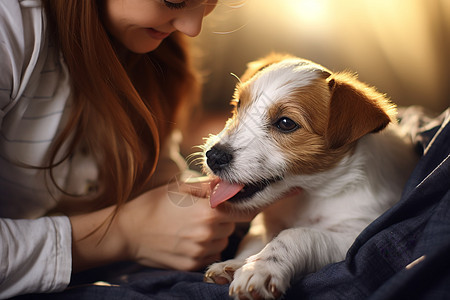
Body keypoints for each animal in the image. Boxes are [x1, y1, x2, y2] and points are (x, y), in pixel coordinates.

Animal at [202, 54, 416, 300]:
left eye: (286, 123)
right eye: (238, 105)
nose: (213, 156)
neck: (310, 195)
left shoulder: (357, 235)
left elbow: (297, 235)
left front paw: (260, 267)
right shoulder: (265, 224)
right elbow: (254, 240)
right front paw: (235, 263)